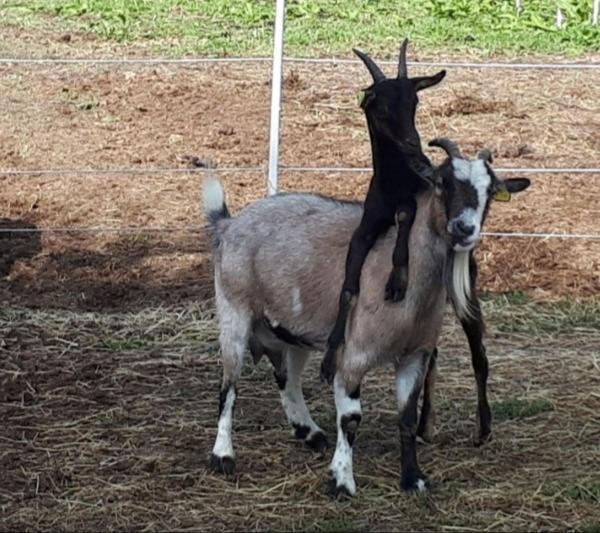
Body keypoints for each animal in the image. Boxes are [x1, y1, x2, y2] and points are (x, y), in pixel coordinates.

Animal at [206, 139, 528, 496]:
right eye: (441, 183)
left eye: (490, 191)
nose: (464, 228)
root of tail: (229, 224)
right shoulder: (353, 358)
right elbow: (350, 419)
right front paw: (342, 481)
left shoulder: (415, 356)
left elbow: (407, 416)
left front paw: (413, 479)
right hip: (234, 312)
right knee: (228, 387)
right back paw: (223, 456)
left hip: (293, 330)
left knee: (287, 378)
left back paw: (310, 432)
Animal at [324, 39, 446, 384]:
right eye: (381, 105)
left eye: (414, 101)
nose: (413, 143)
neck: (392, 185)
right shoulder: (366, 226)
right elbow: (348, 289)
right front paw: (329, 357)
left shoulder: (410, 199)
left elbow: (405, 216)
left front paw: (397, 280)